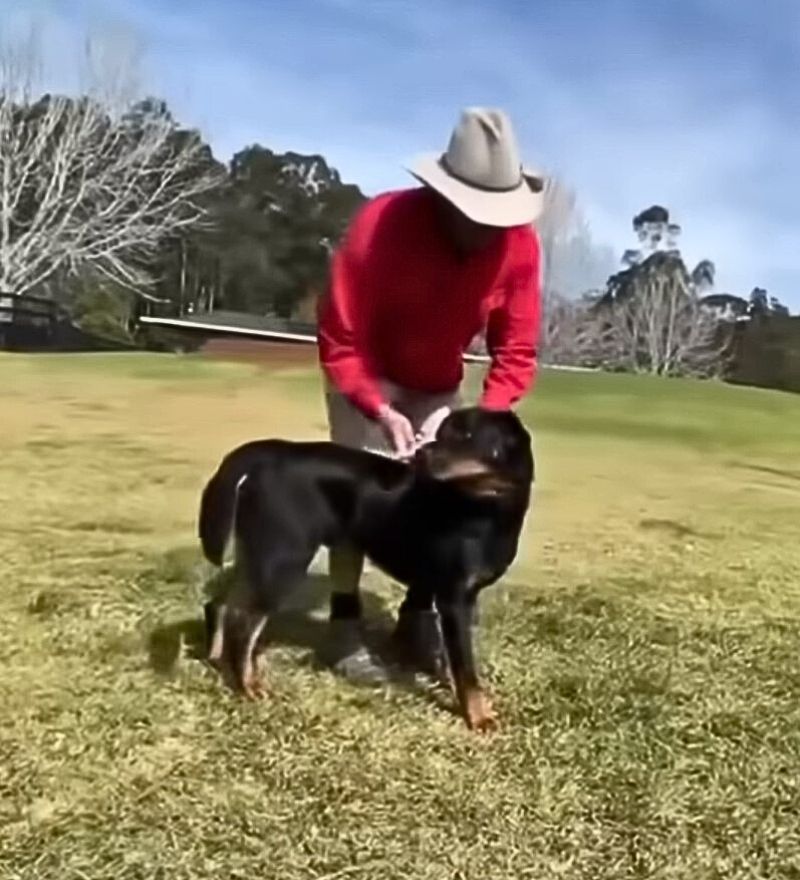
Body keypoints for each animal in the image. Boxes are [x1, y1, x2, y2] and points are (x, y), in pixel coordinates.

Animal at [198, 410, 536, 732]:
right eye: (444, 433)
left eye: (466, 435)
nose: (421, 453)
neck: (488, 510)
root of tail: (273, 453)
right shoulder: (454, 598)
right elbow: (465, 668)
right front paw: (479, 718)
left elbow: (452, 659)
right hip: (284, 558)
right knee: (244, 624)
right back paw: (248, 686)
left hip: (260, 554)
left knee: (221, 605)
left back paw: (217, 659)